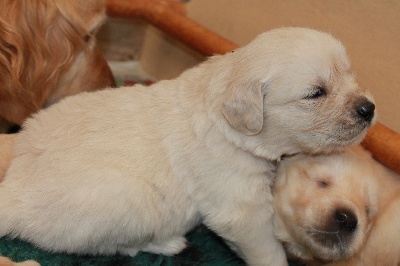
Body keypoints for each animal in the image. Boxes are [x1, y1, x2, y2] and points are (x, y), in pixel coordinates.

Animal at [0, 28, 376, 264]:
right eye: (316, 93)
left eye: (350, 75)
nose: (369, 109)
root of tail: (15, 191)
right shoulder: (241, 207)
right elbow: (267, 248)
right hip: (129, 201)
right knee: (116, 246)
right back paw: (170, 243)